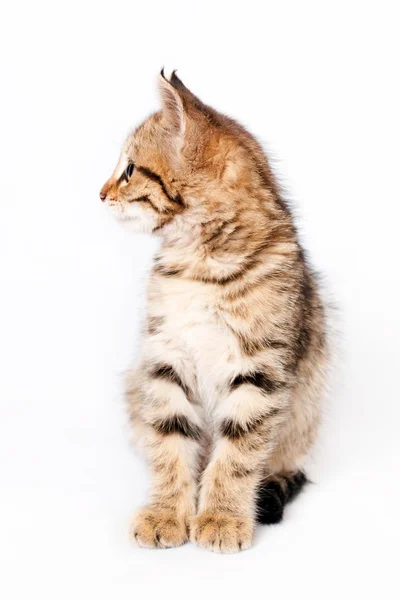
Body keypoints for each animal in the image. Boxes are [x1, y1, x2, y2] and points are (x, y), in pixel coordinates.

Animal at [99, 70, 328, 552]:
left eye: (128, 170)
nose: (101, 193)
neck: (201, 264)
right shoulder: (165, 358)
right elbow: (169, 443)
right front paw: (167, 513)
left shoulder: (260, 369)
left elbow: (237, 454)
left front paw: (221, 516)